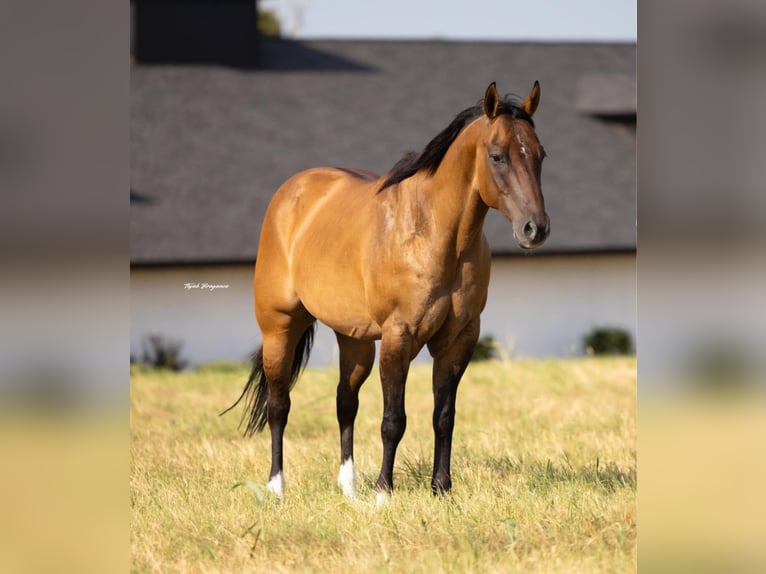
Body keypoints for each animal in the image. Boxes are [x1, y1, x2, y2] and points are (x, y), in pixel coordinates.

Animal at [223, 81, 549, 504]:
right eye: (497, 156)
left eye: (540, 154)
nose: (535, 229)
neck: (431, 233)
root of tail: (291, 191)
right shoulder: (399, 336)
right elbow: (393, 420)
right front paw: (383, 493)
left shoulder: (459, 339)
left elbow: (444, 417)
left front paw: (441, 489)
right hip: (279, 328)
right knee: (280, 404)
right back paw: (277, 488)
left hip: (354, 340)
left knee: (345, 402)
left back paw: (349, 488)